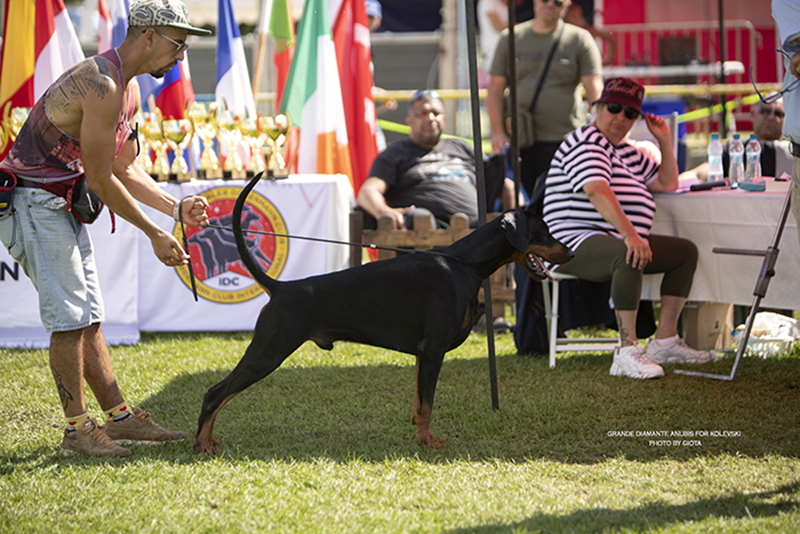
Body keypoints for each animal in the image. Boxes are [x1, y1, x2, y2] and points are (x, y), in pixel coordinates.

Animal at [195, 173, 573, 454]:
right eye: (544, 232)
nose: (570, 253)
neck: (466, 263)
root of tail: (282, 288)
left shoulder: (423, 352)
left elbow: (419, 403)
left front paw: (421, 437)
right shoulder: (434, 349)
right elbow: (428, 403)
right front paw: (427, 444)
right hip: (268, 351)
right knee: (214, 393)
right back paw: (201, 446)